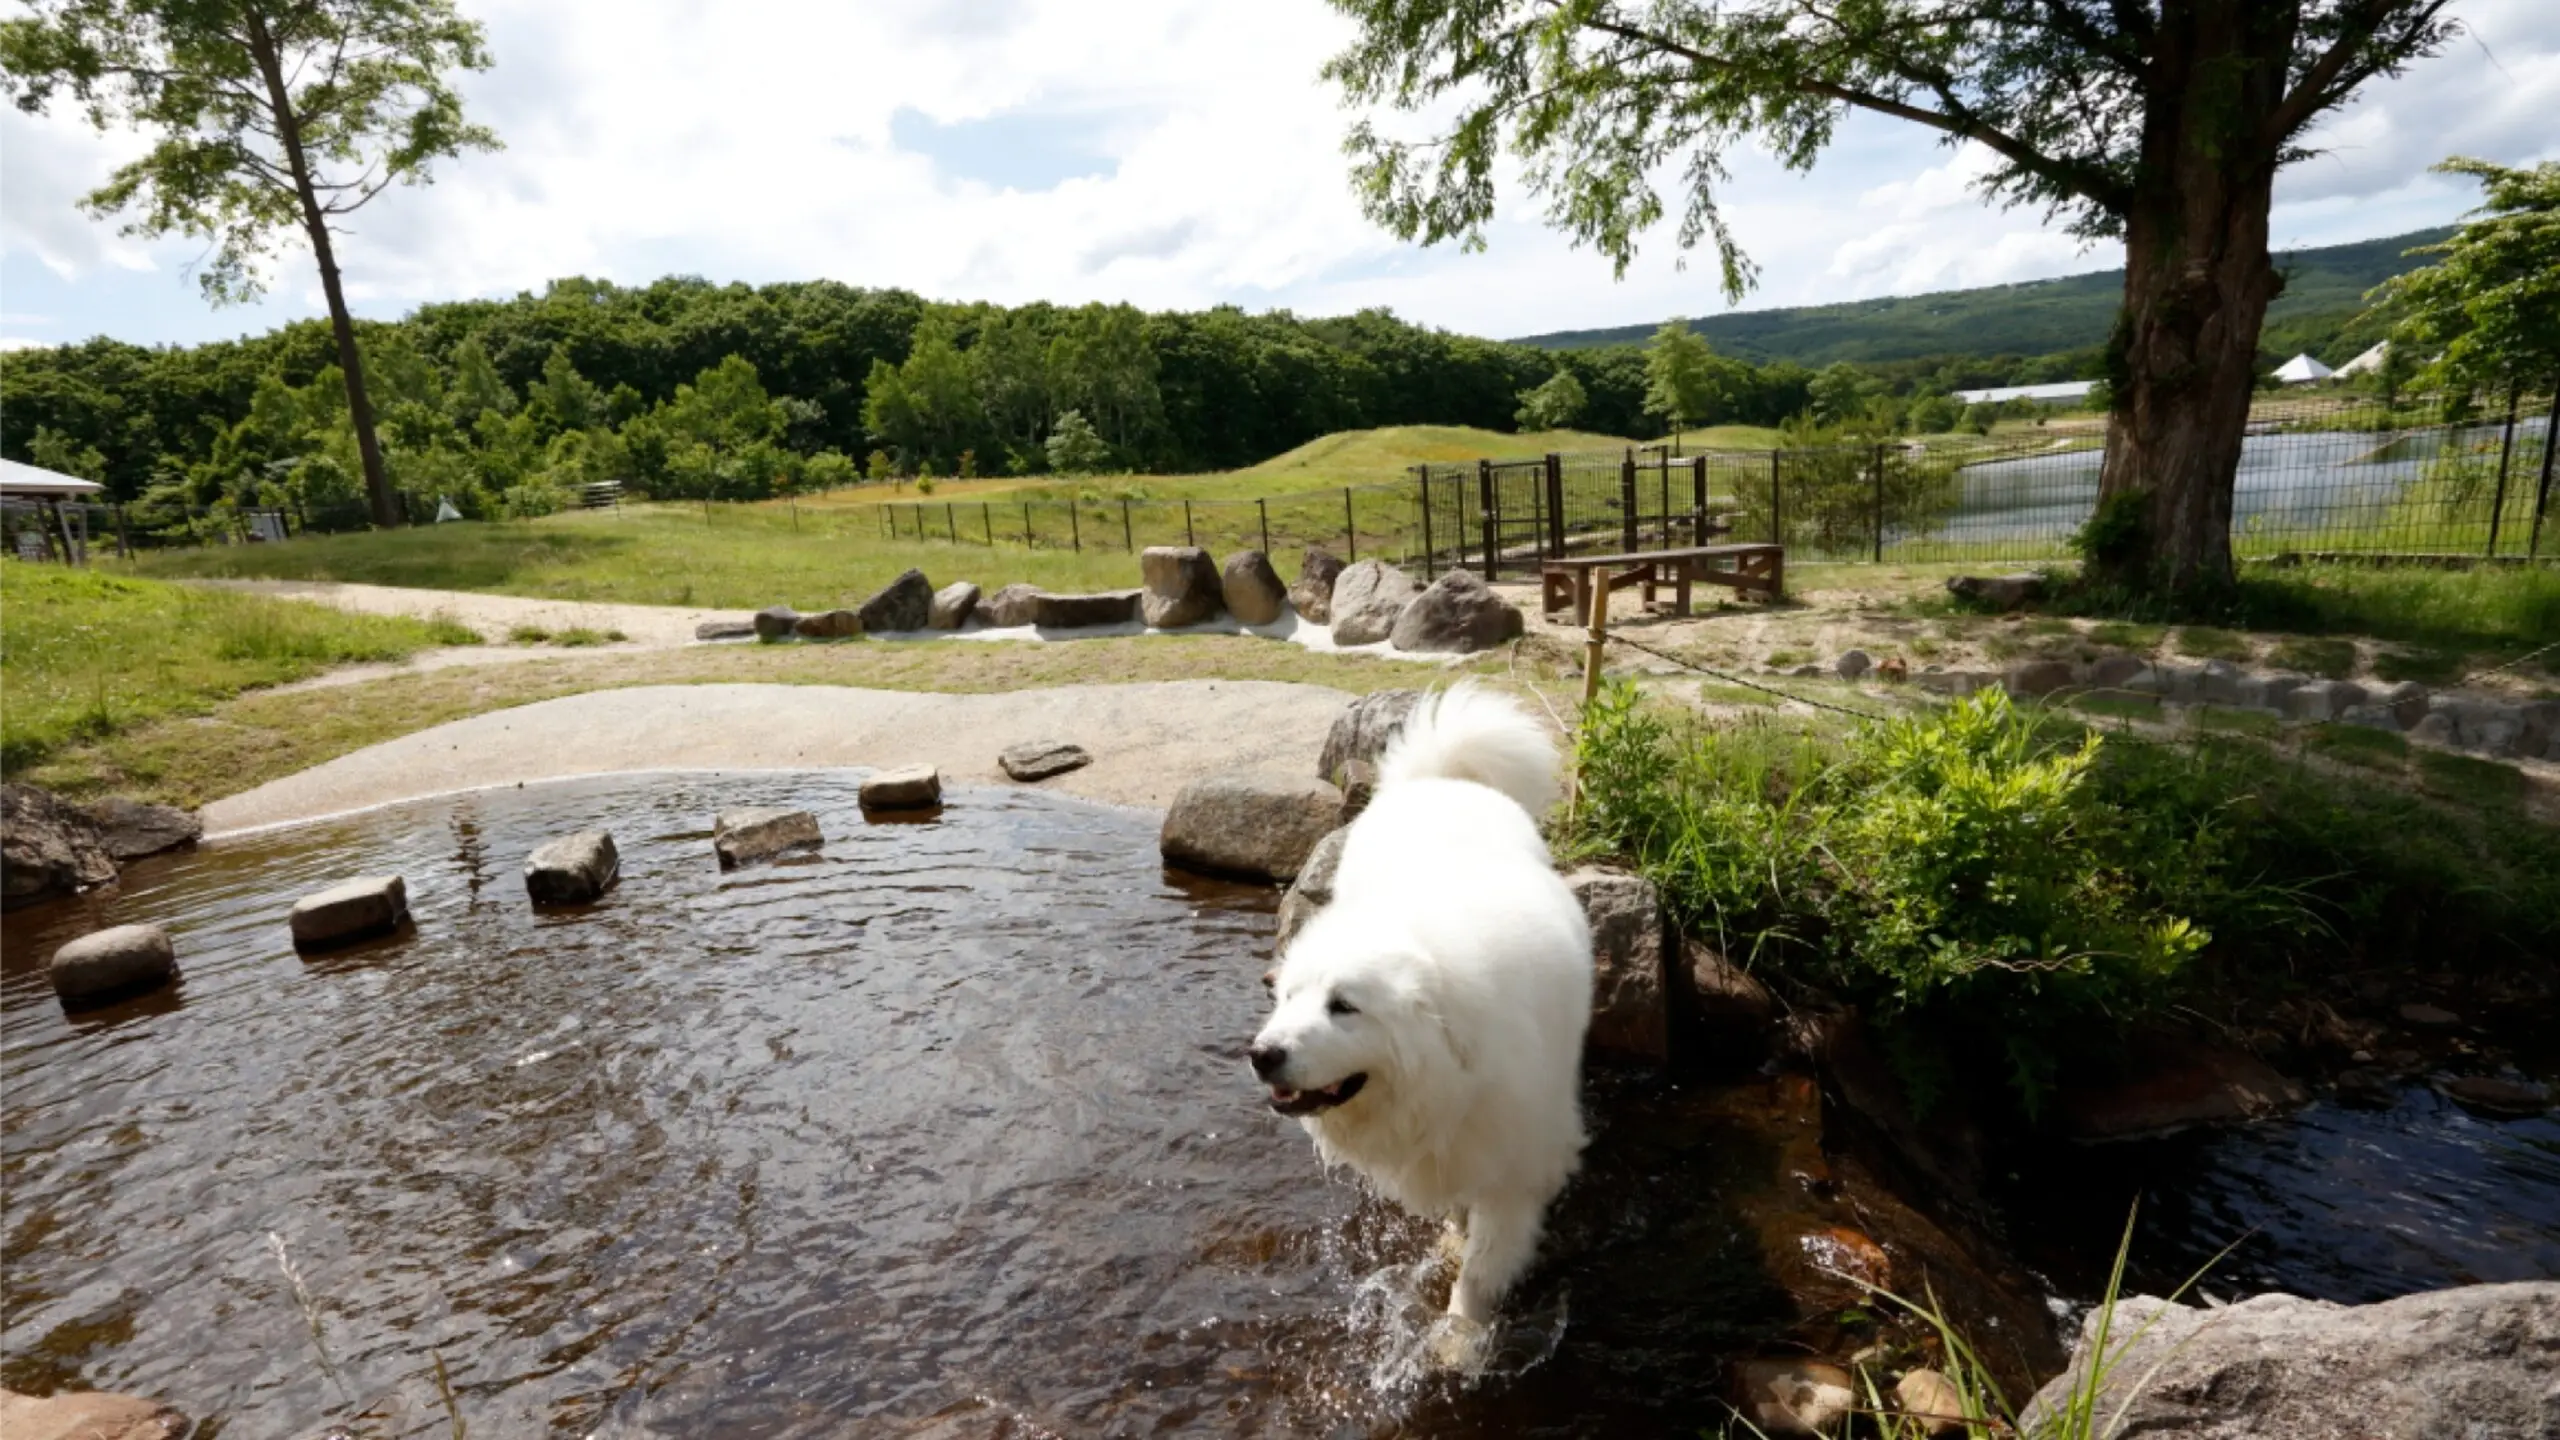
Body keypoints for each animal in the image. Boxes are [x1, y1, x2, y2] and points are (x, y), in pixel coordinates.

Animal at [1249, 681, 1587, 1322]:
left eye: (1344, 1006)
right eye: (1288, 996)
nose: (1262, 1054)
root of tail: (1441, 777)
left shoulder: (1517, 1173)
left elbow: (1480, 1272)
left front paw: (1459, 1334)